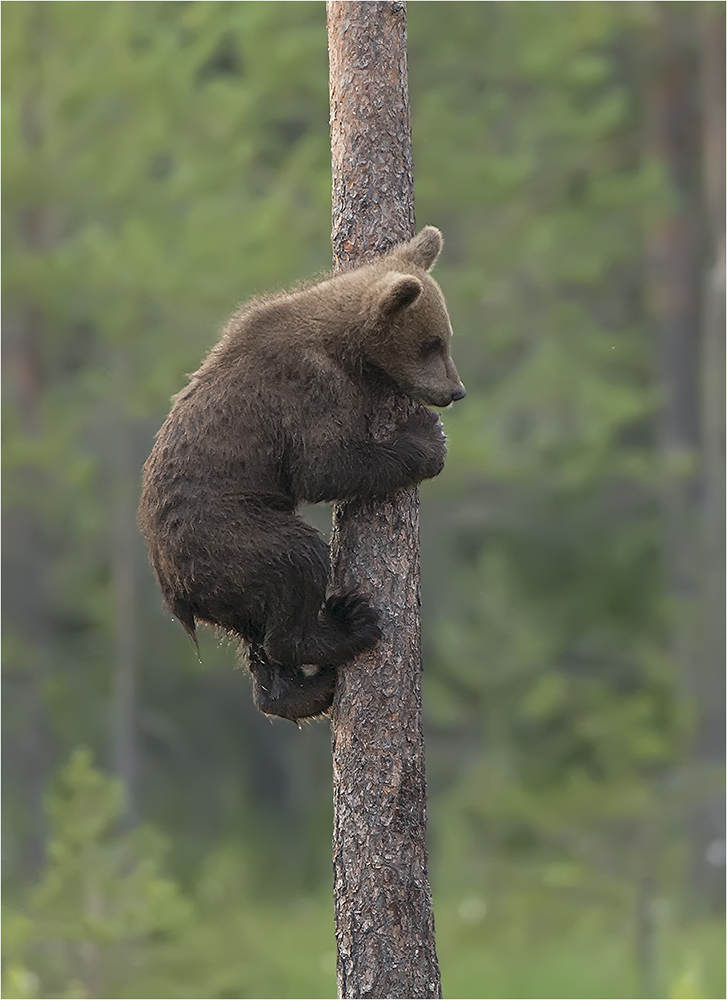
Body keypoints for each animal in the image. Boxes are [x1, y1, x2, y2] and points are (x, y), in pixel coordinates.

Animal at [138, 229, 466, 720]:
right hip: (227, 535)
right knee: (295, 561)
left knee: (257, 642)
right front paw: (428, 439)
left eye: (445, 338)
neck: (343, 346)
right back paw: (349, 626)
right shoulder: (309, 389)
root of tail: (177, 595)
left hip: (228, 586)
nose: (456, 391)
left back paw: (299, 689)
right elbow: (323, 467)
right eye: (432, 343)